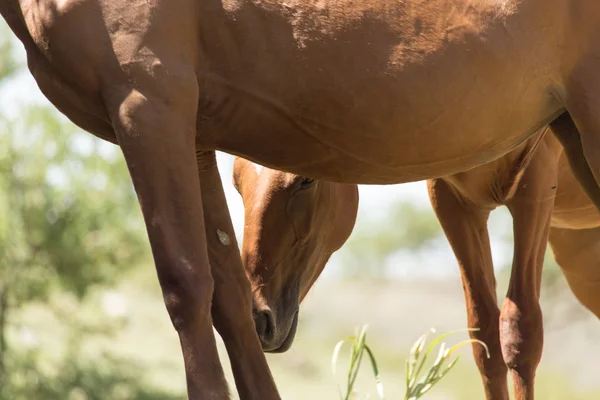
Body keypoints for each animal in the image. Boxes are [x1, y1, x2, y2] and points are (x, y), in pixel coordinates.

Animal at [233, 117, 600, 398]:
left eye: (306, 179)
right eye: (236, 182)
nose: (257, 318)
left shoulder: (534, 188)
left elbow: (521, 335)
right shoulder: (452, 201)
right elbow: (485, 339)